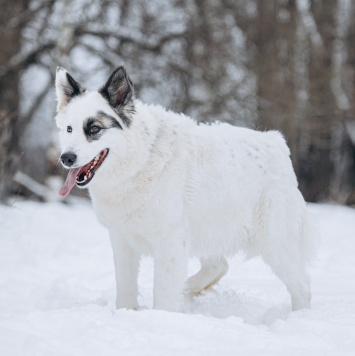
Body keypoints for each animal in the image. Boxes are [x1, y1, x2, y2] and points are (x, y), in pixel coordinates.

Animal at [55, 65, 318, 310]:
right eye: (69, 129)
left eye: (94, 129)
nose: (66, 158)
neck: (140, 161)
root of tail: (276, 142)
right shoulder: (123, 242)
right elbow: (126, 293)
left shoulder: (170, 245)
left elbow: (163, 296)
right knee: (220, 265)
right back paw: (191, 288)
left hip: (276, 246)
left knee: (303, 288)